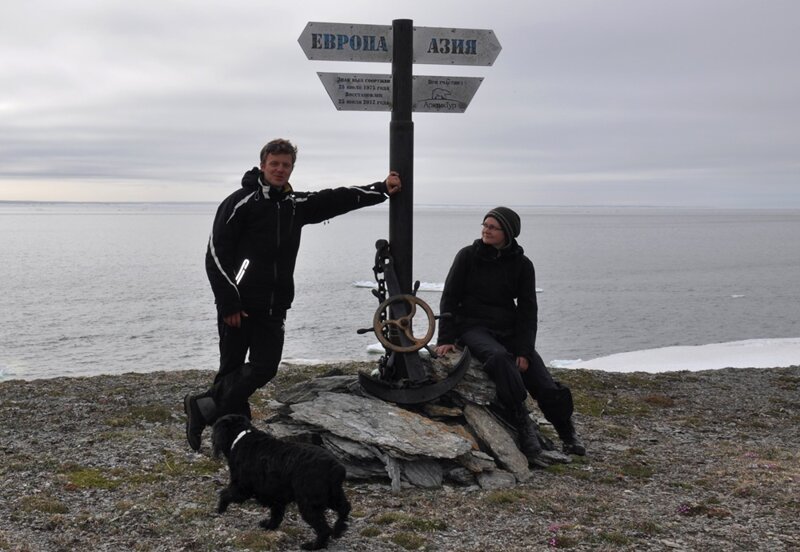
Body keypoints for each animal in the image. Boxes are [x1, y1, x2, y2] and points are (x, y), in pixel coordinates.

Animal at [212, 414, 350, 548]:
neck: (241, 436)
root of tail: (335, 468)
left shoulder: (242, 487)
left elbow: (226, 494)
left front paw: (220, 509)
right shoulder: (275, 494)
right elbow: (276, 514)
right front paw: (270, 526)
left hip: (310, 503)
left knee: (324, 529)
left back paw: (313, 545)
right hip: (331, 496)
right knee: (345, 509)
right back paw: (338, 530)